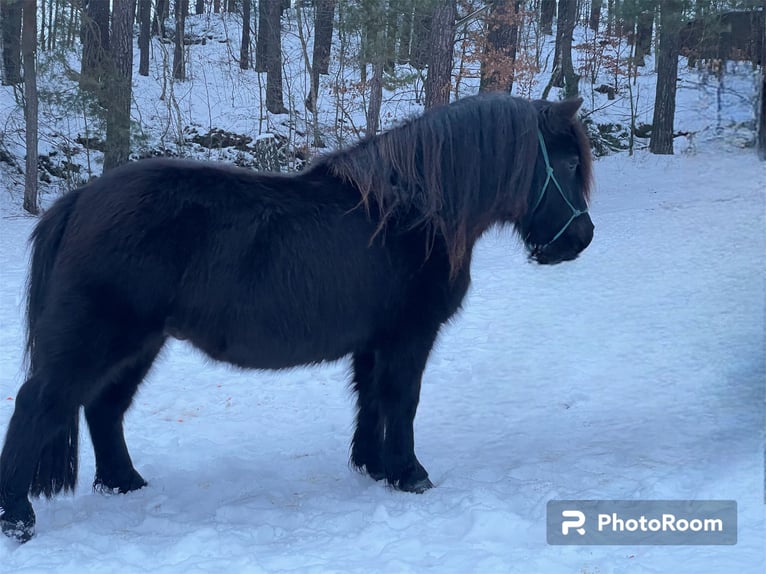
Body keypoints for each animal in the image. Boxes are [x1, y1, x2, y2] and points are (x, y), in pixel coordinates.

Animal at [0, 95, 596, 544]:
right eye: (568, 163)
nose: (580, 238)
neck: (410, 211)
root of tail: (80, 198)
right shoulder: (408, 336)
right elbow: (401, 400)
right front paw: (409, 474)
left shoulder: (373, 341)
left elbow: (369, 400)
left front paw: (373, 466)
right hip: (98, 339)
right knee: (40, 405)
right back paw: (19, 519)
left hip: (140, 344)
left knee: (104, 408)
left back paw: (125, 484)